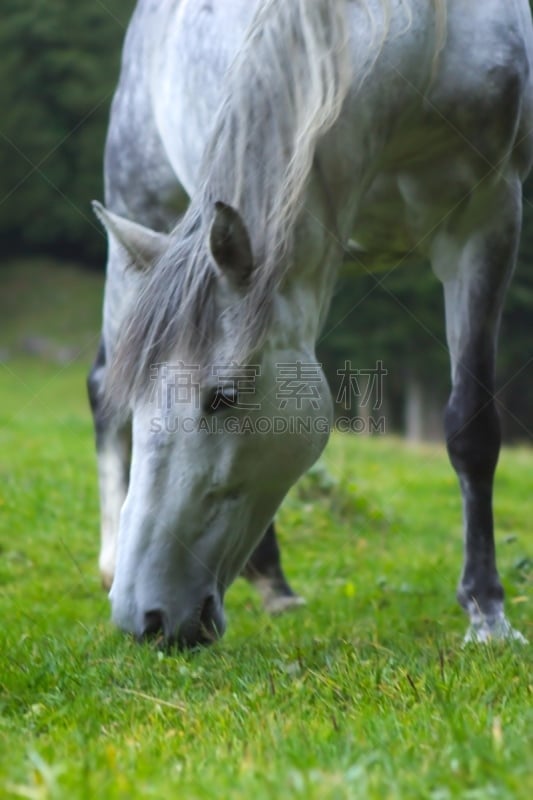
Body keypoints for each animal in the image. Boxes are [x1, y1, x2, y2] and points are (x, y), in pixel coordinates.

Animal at [89, 0, 532, 648]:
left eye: (223, 398)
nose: (141, 619)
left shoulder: (486, 220)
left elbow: (471, 427)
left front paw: (487, 612)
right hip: (138, 214)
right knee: (100, 386)